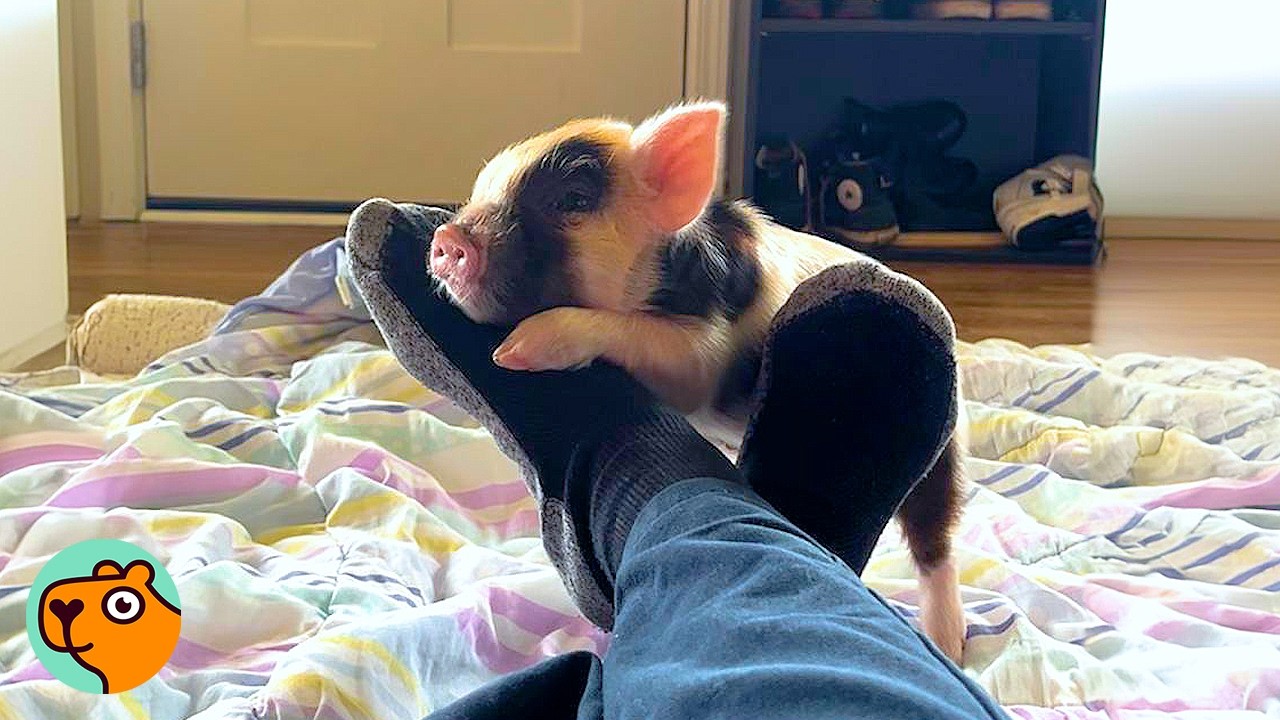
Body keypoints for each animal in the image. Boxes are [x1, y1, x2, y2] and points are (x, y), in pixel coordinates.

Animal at [427, 101, 966, 662]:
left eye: (572, 200)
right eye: (483, 188)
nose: (447, 240)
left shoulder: (705, 354)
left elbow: (675, 359)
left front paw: (514, 352)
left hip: (945, 447)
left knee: (936, 538)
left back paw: (949, 646)